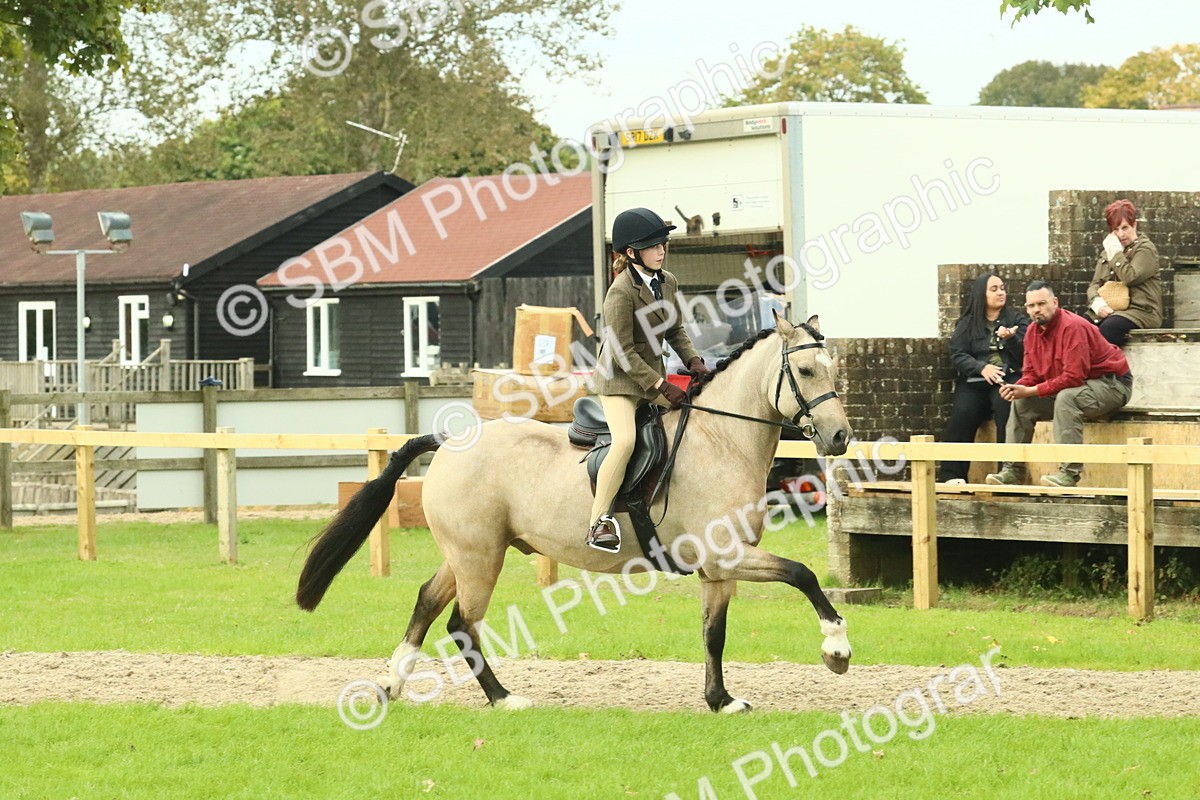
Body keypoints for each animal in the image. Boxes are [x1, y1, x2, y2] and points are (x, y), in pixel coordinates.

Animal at [296, 313, 854, 713]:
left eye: (833, 370)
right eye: (806, 371)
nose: (839, 438)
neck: (722, 439)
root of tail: (451, 441)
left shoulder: (718, 569)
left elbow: (713, 634)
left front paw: (721, 701)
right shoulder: (725, 555)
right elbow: (802, 575)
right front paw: (836, 650)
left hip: (467, 553)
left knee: (428, 603)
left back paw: (393, 684)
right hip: (480, 558)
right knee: (462, 621)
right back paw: (504, 698)